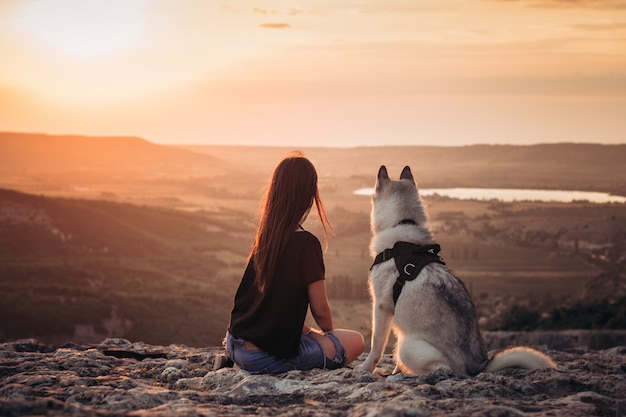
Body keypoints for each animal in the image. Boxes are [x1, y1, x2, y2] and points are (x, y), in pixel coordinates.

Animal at [356, 165, 556, 374]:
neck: (403, 222)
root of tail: (477, 366)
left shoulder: (381, 307)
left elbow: (376, 346)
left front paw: (366, 368)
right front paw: (394, 370)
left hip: (407, 346)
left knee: (441, 368)